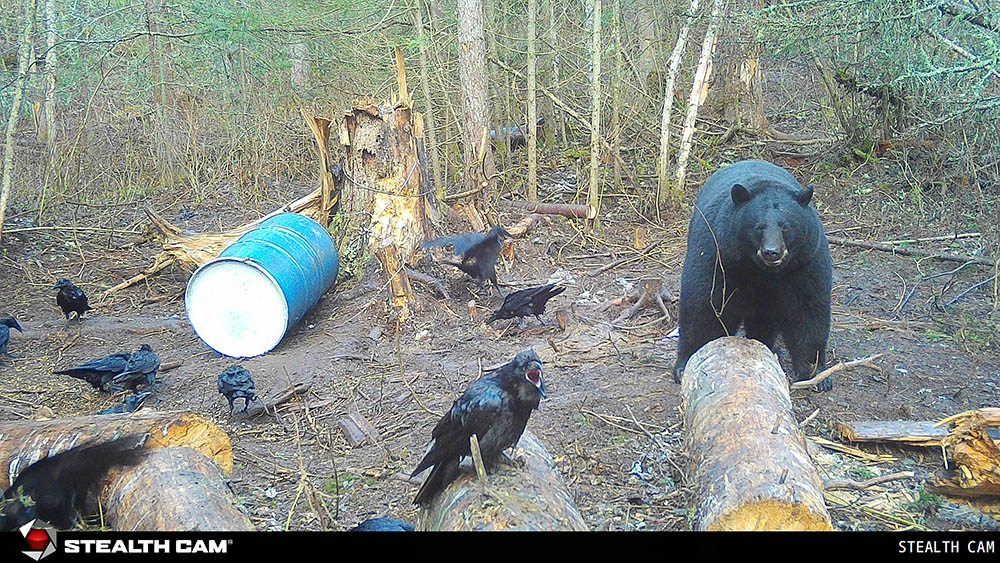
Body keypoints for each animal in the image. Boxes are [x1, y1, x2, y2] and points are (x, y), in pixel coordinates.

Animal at [673, 160, 833, 391]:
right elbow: (705, 304)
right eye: (759, 227)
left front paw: (816, 372)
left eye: (786, 227)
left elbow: (807, 311)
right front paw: (689, 362)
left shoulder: (805, 263)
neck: (762, 271)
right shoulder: (718, 256)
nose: (771, 252)